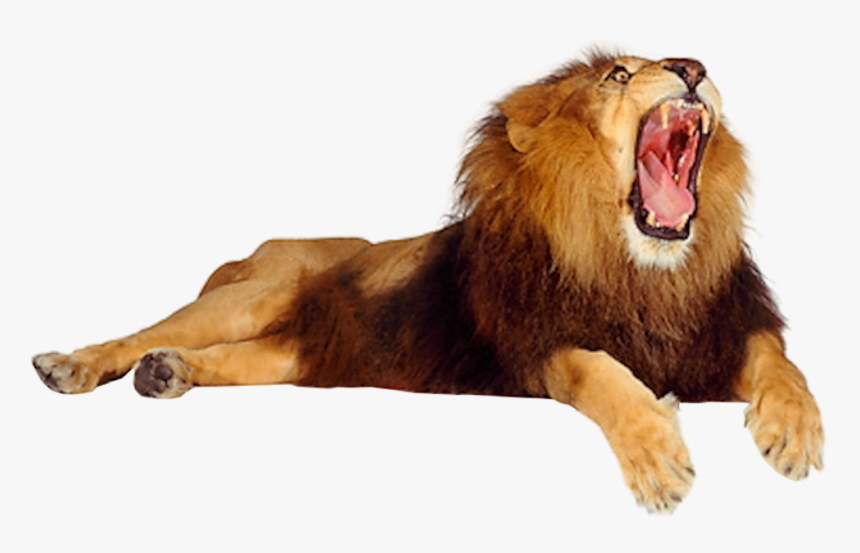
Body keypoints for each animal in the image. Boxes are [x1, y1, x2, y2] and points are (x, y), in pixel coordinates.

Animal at [33, 52, 823, 513]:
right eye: (618, 76)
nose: (690, 66)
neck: (641, 269)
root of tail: (256, 248)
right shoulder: (536, 347)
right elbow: (597, 372)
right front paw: (657, 456)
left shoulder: (720, 332)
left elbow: (782, 364)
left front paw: (793, 431)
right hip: (251, 295)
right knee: (143, 331)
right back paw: (73, 365)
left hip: (295, 353)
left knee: (223, 358)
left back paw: (166, 373)